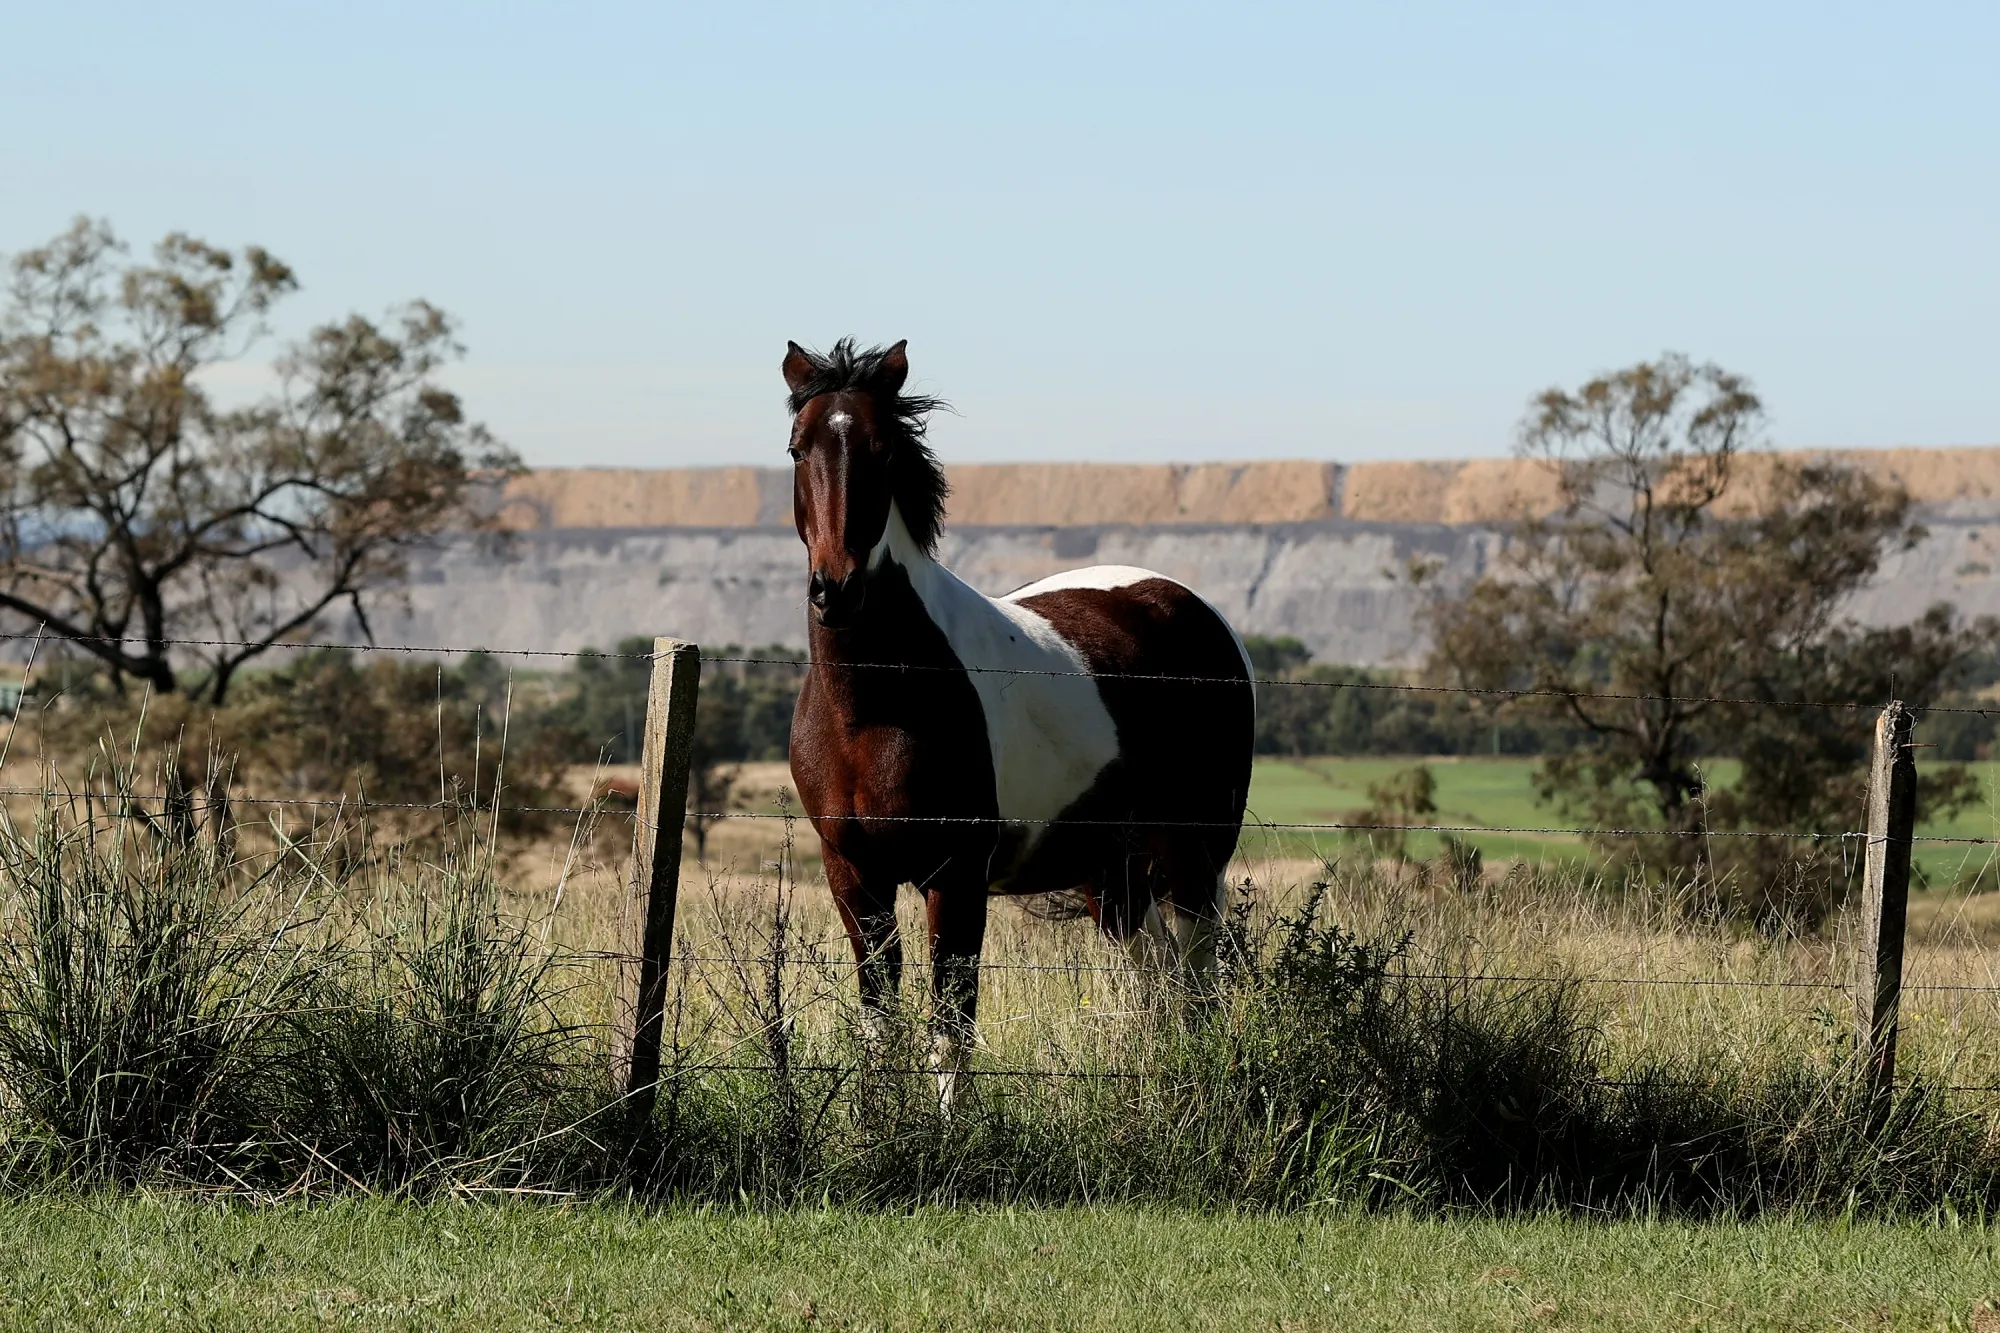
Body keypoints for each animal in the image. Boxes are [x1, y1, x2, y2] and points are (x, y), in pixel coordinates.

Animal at [781, 338, 1254, 1108]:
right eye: (798, 447)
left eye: (882, 448)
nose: (836, 590)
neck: (874, 708)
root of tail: (1191, 608)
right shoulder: (854, 876)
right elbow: (880, 1023)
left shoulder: (956, 877)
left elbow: (951, 1025)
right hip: (1112, 874)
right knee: (1155, 977)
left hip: (1193, 854)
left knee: (1195, 982)